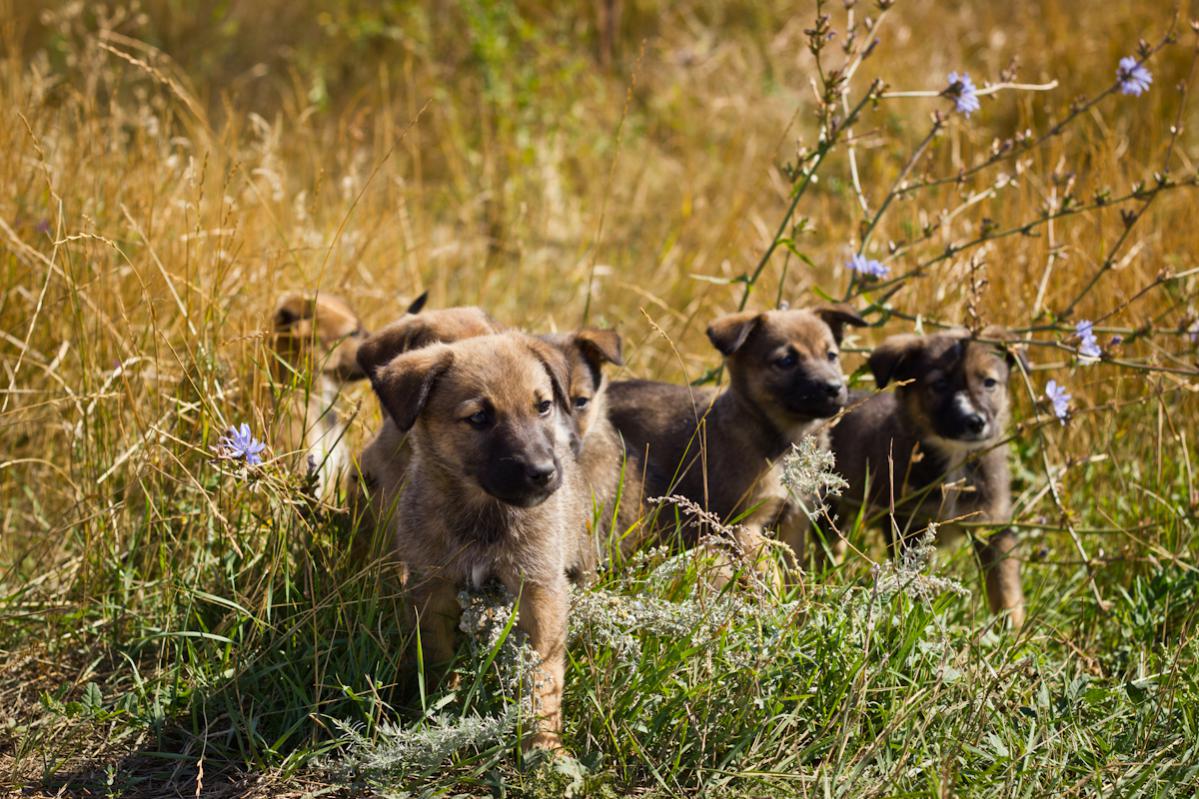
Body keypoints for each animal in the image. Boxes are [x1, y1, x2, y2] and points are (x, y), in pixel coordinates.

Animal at [365, 331, 586, 751]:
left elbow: (544, 676)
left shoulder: (539, 590)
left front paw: (544, 742)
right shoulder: (431, 585)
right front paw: (436, 704)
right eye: (479, 417)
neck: (486, 514)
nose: (544, 473)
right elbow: (434, 653)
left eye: (543, 407)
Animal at [606, 305, 867, 566]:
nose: (834, 388)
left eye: (831, 356)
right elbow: (767, 569)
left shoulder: (795, 519)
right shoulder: (744, 524)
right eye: (786, 361)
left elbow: (792, 566)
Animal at [824, 327, 1027, 628]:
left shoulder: (993, 525)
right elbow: (915, 582)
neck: (955, 457)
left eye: (989, 382)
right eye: (939, 384)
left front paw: (1013, 629)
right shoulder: (909, 524)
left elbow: (1005, 587)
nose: (974, 421)